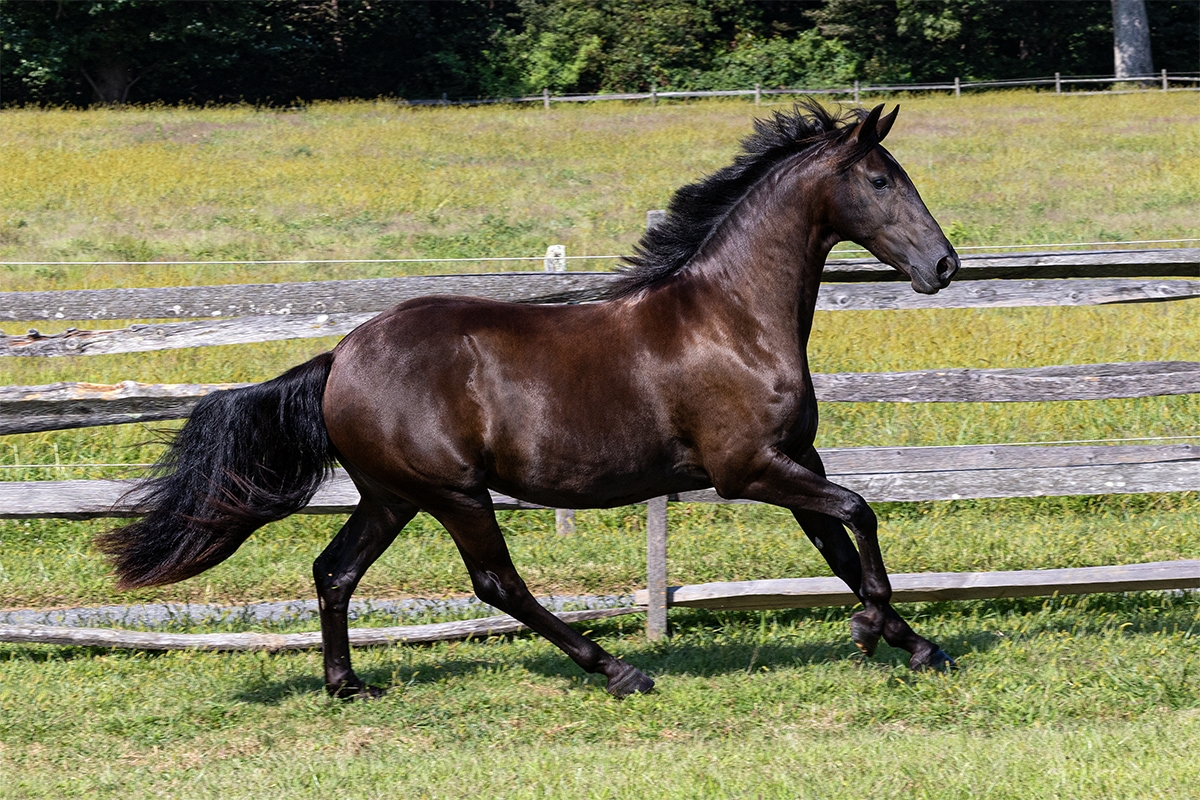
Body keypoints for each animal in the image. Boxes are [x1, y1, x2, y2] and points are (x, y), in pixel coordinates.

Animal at [100, 102, 960, 700]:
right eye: (881, 180)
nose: (944, 266)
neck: (734, 319)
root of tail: (340, 355)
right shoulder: (747, 468)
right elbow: (859, 516)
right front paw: (872, 629)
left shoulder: (794, 457)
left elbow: (838, 545)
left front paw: (918, 645)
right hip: (453, 493)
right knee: (496, 583)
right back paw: (617, 670)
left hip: (390, 495)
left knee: (334, 571)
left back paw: (347, 685)